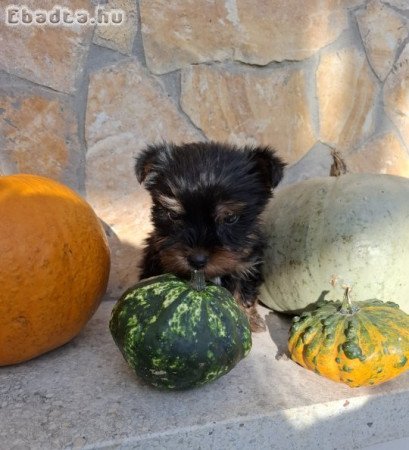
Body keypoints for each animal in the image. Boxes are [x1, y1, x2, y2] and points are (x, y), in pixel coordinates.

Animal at [134, 142, 284, 332]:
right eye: (173, 215)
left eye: (230, 218)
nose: (196, 260)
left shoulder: (248, 263)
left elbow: (243, 289)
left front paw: (247, 318)